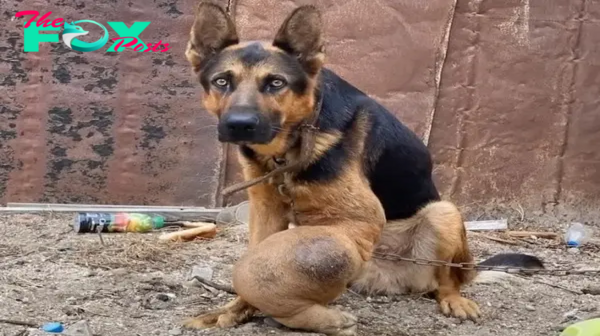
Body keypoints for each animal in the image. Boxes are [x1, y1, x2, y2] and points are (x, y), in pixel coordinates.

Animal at [183, 3, 544, 336]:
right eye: (221, 81)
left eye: (275, 83)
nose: (239, 125)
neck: (290, 146)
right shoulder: (266, 208)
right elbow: (256, 261)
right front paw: (236, 309)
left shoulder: (358, 218)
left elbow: (256, 270)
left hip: (444, 213)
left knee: (447, 279)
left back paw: (453, 298)